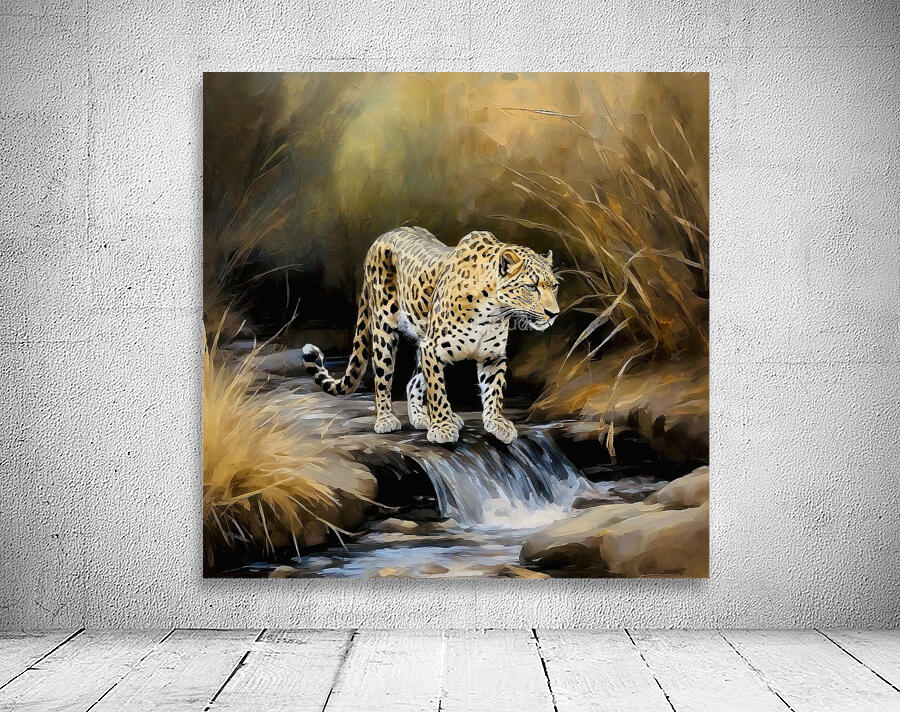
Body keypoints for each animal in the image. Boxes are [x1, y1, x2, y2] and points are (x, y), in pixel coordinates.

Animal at [302, 226, 559, 444]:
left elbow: (494, 391)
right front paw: (442, 428)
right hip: (384, 328)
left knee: (412, 382)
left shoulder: (492, 356)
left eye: (554, 286)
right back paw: (386, 419)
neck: (493, 310)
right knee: (383, 378)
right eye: (531, 286)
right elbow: (437, 391)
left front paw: (497, 423)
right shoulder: (433, 349)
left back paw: (421, 417)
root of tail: (382, 237)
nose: (553, 313)